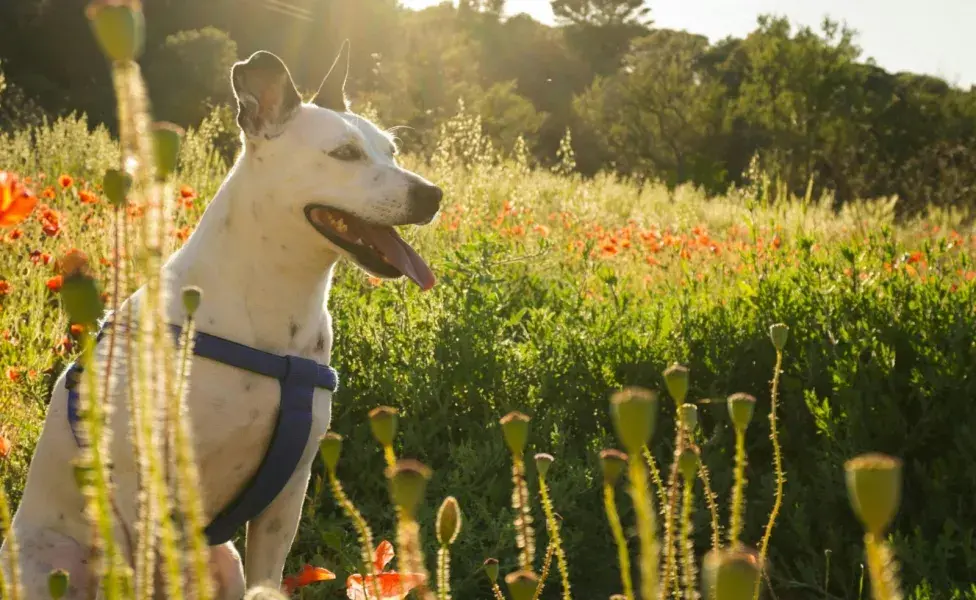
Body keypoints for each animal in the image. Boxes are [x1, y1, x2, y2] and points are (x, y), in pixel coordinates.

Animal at [0, 43, 442, 600]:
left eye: (392, 151)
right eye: (344, 154)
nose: (433, 194)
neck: (276, 296)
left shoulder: (287, 494)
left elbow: (268, 577)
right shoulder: (141, 494)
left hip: (222, 560)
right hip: (47, 559)